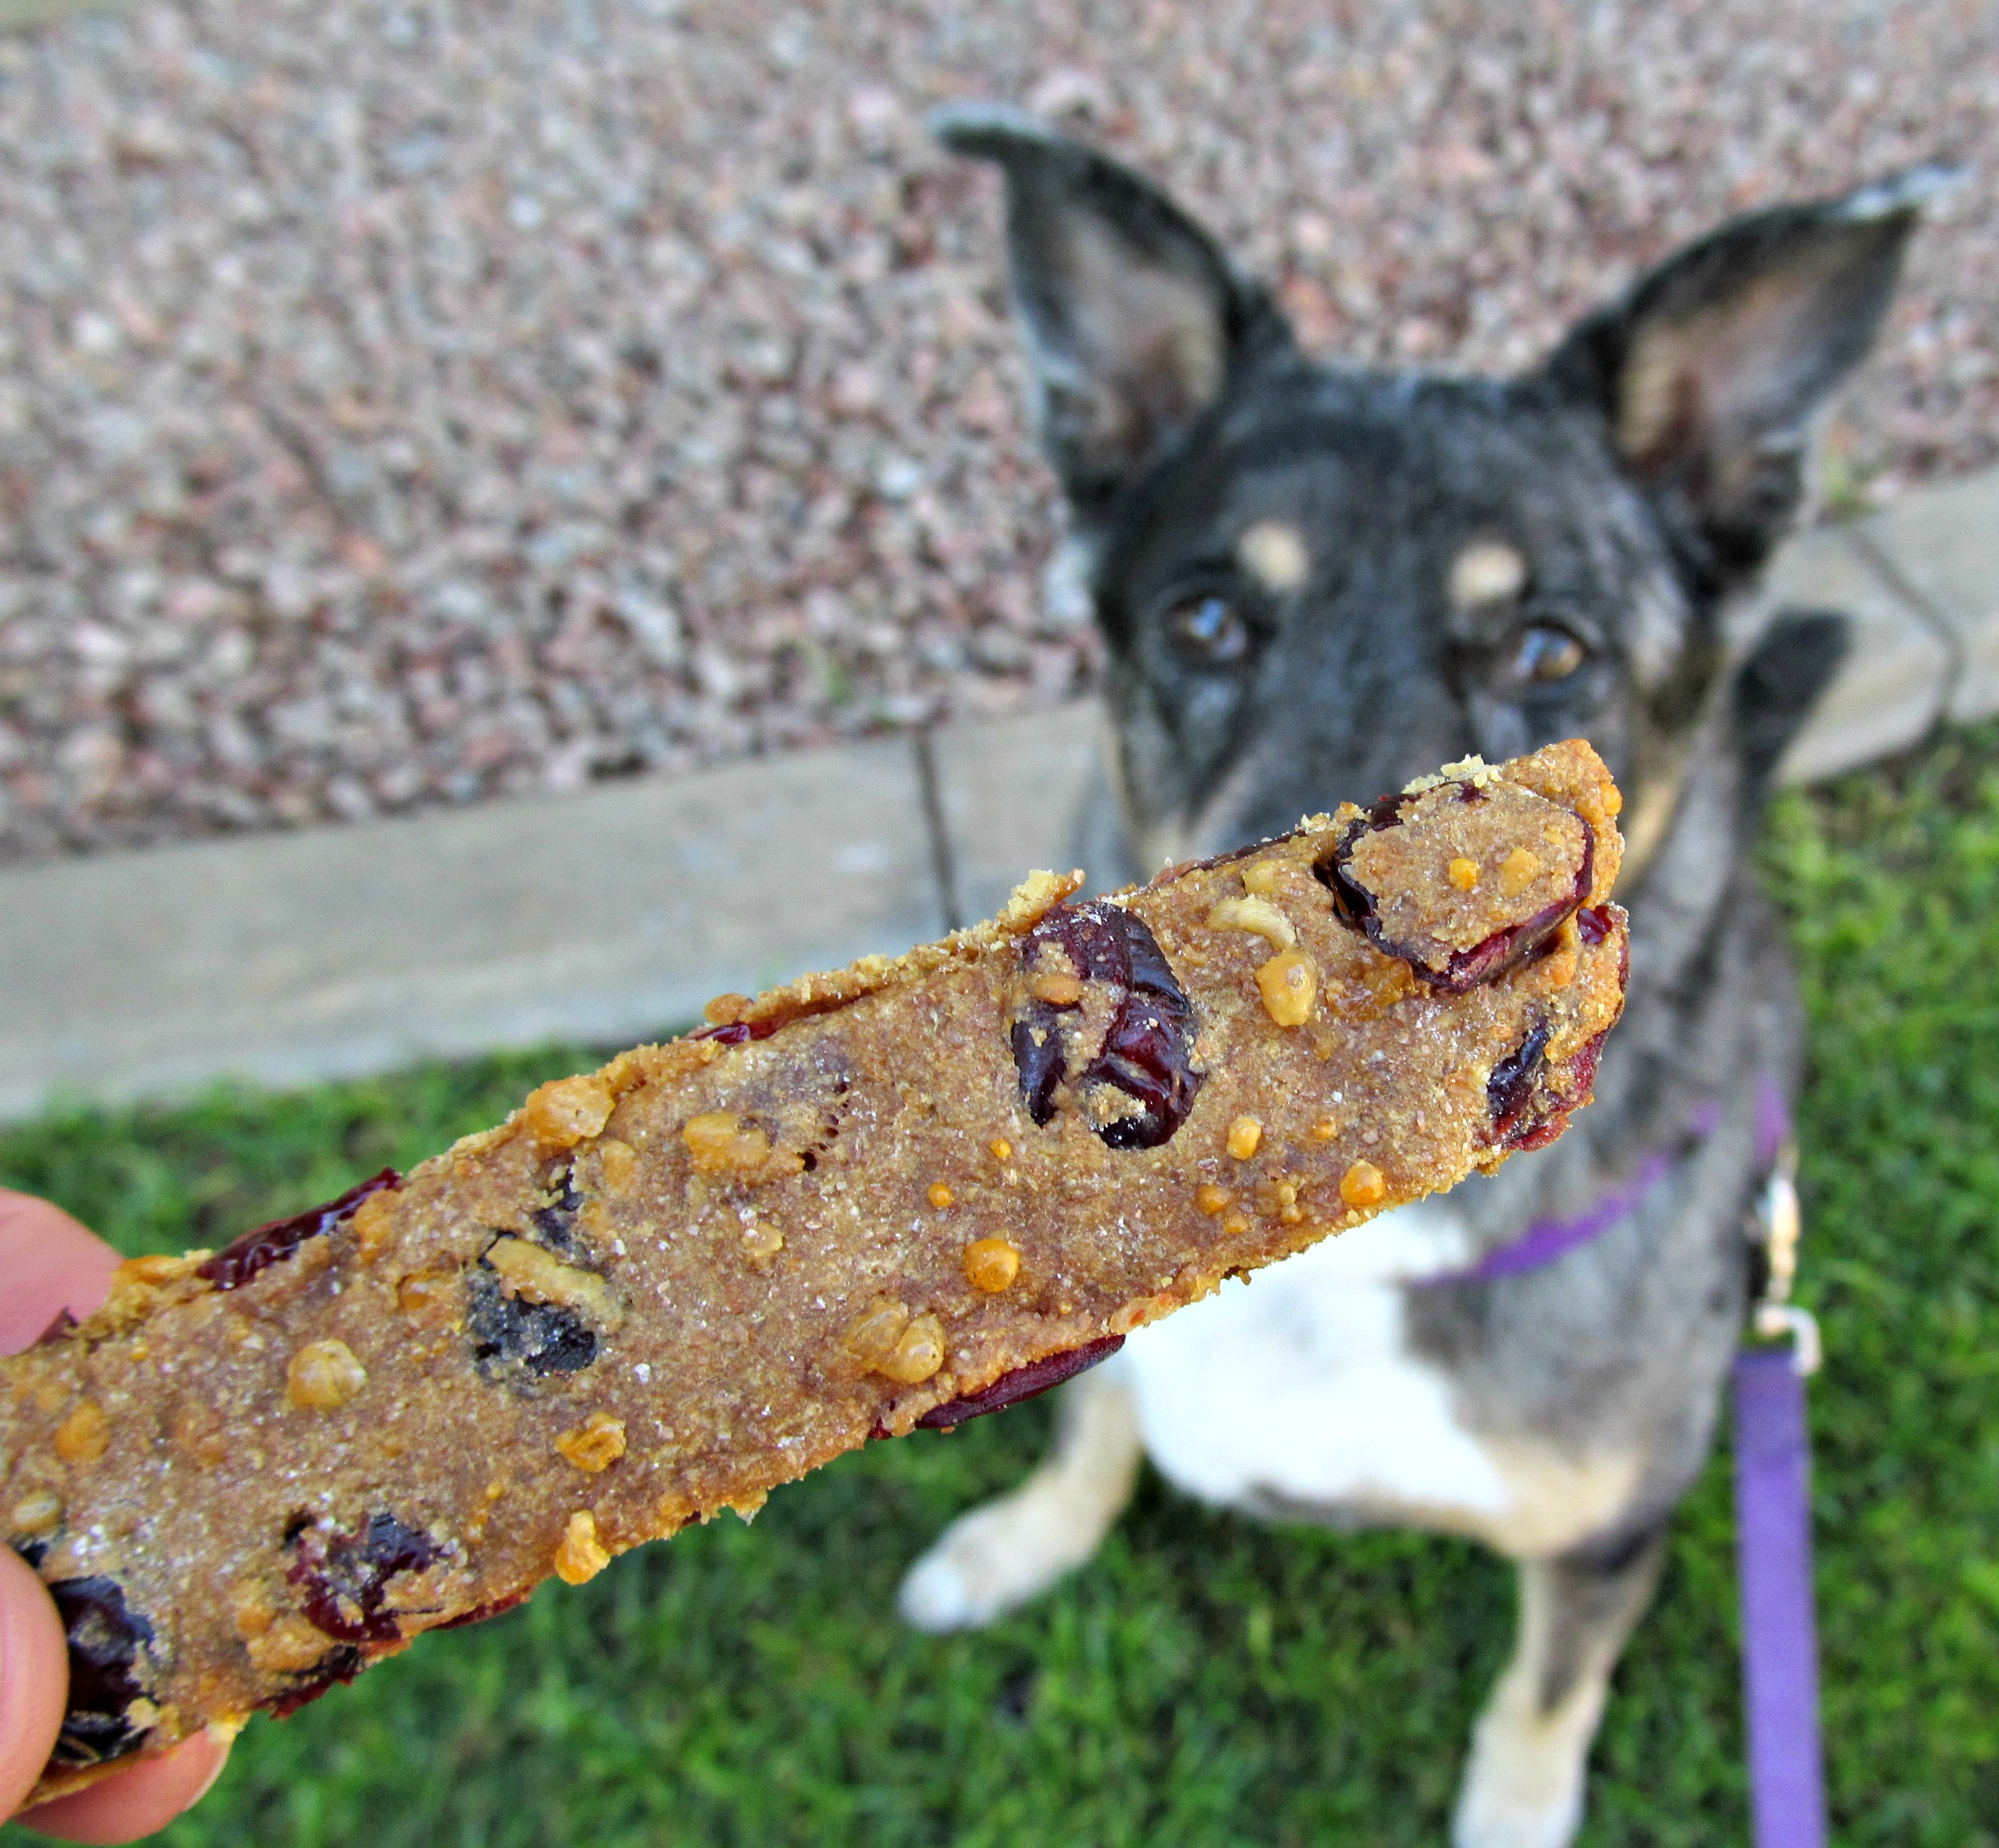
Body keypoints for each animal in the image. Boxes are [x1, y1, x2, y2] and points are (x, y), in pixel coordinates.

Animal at [911, 108, 1951, 1840]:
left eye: (1546, 649)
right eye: (1204, 618)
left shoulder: (1604, 1534)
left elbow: (1540, 1695)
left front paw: (1515, 1811)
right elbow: (1089, 1429)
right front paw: (1016, 1542)